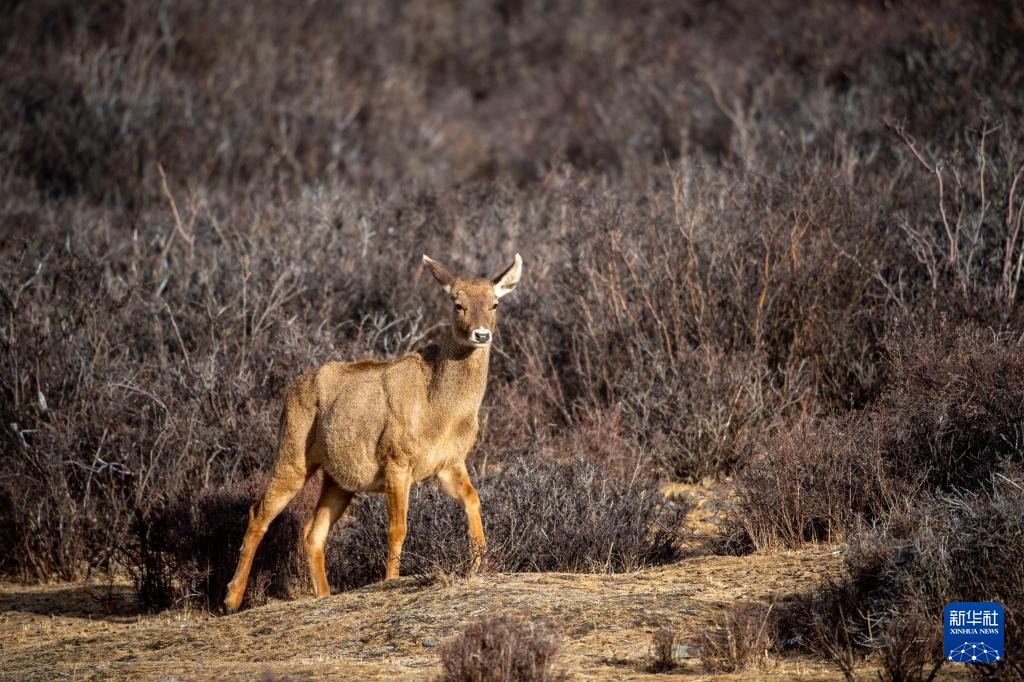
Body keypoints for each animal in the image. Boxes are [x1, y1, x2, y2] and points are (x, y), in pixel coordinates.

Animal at [218, 251, 520, 614]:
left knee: (312, 532)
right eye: (457, 303)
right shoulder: (396, 458)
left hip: (338, 479)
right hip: (292, 450)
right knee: (259, 513)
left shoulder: (449, 462)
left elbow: (474, 500)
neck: (439, 409)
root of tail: (290, 390)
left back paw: (324, 595)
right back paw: (231, 599)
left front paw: (480, 565)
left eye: (494, 304)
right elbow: (397, 527)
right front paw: (391, 579)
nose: (481, 335)